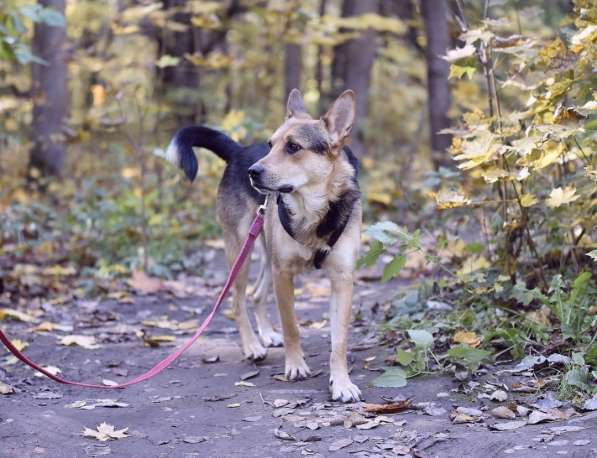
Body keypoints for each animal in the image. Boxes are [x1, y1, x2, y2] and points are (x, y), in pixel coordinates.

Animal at [168, 88, 364, 400]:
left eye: (293, 147)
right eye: (271, 145)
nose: (253, 171)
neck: (313, 210)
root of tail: (238, 152)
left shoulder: (342, 279)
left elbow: (340, 341)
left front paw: (342, 383)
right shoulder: (283, 274)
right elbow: (292, 326)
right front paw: (295, 366)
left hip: (267, 254)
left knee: (257, 294)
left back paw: (267, 335)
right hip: (241, 249)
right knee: (237, 300)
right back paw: (252, 346)